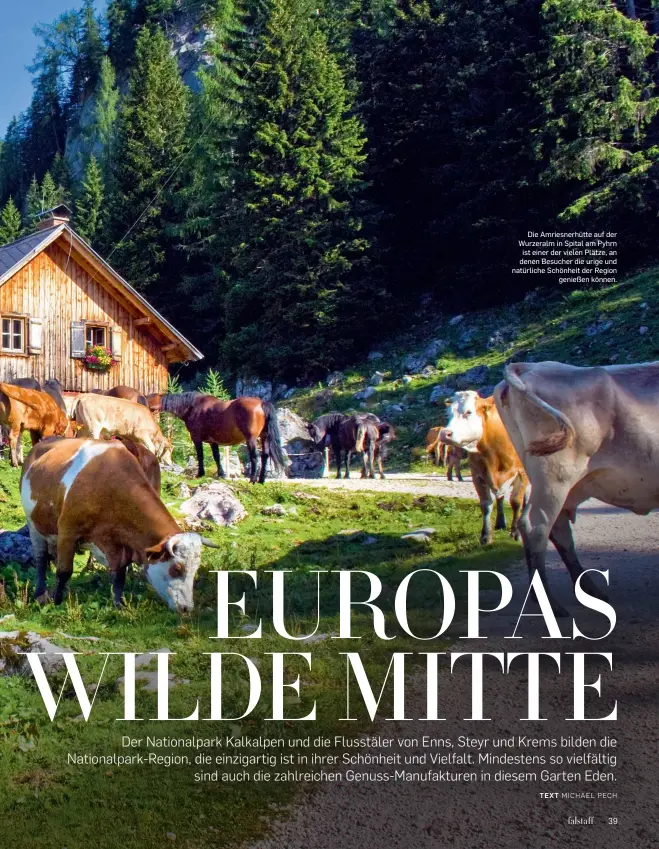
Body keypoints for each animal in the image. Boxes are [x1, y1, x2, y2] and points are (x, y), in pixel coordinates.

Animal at [18, 438, 217, 608]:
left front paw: (118, 605)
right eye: (176, 569)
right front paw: (56, 601)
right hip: (33, 524)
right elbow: (64, 571)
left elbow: (119, 575)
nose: (187, 608)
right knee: (41, 559)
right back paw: (40, 593)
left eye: (195, 570)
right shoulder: (68, 533)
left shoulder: (120, 544)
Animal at [148, 392, 288, 484]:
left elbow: (200, 456)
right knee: (265, 456)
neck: (192, 407)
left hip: (251, 439)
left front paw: (200, 474)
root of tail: (261, 403)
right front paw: (221, 474)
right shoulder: (212, 441)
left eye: (149, 399)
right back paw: (261, 480)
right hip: (264, 437)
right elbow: (217, 456)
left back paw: (252, 479)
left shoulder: (196, 438)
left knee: (255, 457)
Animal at [438, 390, 532, 544]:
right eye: (449, 414)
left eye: (468, 412)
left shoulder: (521, 473)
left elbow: (516, 502)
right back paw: (500, 523)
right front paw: (486, 536)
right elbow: (486, 504)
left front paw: (516, 532)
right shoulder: (477, 474)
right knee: (500, 498)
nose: (444, 433)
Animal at [496, 362, 659, 612]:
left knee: (559, 528)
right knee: (536, 527)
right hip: (555, 476)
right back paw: (549, 602)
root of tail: (530, 366)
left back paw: (590, 589)